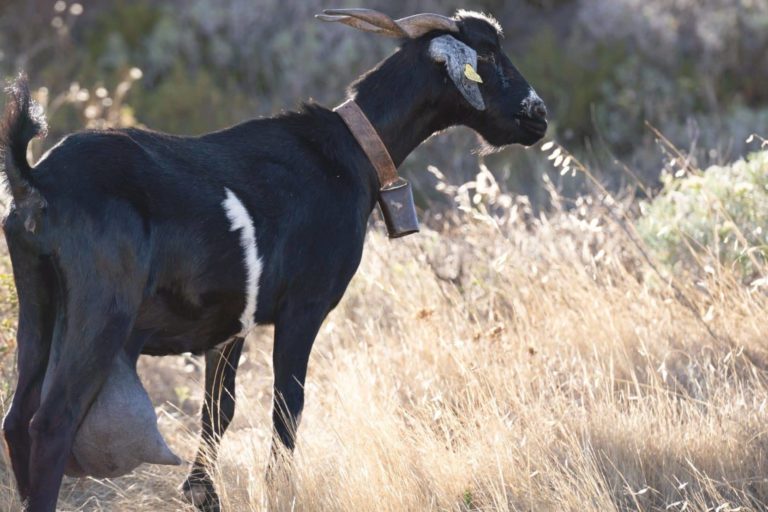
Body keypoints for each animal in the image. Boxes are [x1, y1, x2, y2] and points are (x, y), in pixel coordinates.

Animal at [1, 8, 547, 512]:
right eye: (488, 55)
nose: (537, 115)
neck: (351, 154)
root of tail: (38, 180)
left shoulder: (229, 325)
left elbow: (218, 409)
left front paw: (203, 492)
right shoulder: (304, 306)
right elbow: (288, 405)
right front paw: (279, 491)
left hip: (39, 303)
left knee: (16, 419)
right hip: (101, 309)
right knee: (52, 422)